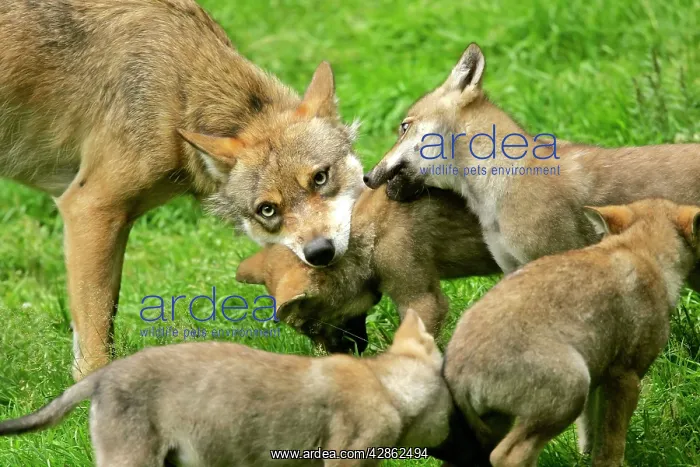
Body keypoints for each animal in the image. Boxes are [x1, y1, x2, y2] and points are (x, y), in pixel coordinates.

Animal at [0, 0, 363, 379]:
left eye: (320, 178)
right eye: (268, 210)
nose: (320, 252)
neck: (179, 93)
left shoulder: (113, 221)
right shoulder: (89, 207)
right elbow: (95, 336)